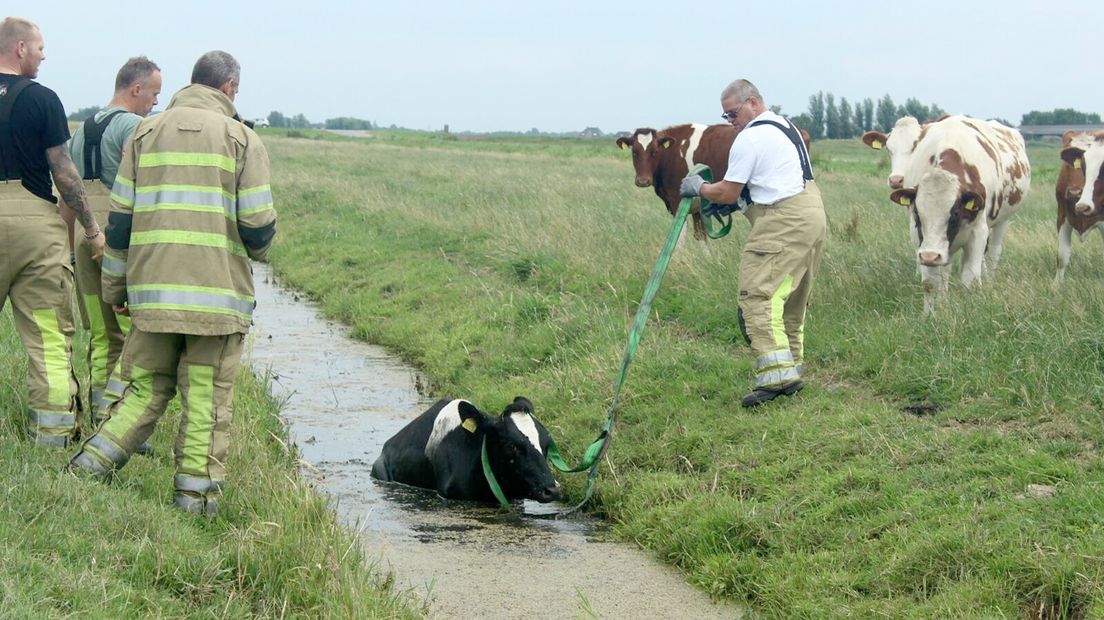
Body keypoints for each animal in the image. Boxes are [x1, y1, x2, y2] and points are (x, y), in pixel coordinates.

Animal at [883, 114, 1028, 311]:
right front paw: (930, 314)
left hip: (1001, 222)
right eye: (917, 213)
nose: (930, 256)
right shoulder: (921, 238)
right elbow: (931, 282)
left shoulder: (978, 231)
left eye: (955, 214)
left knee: (992, 255)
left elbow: (971, 279)